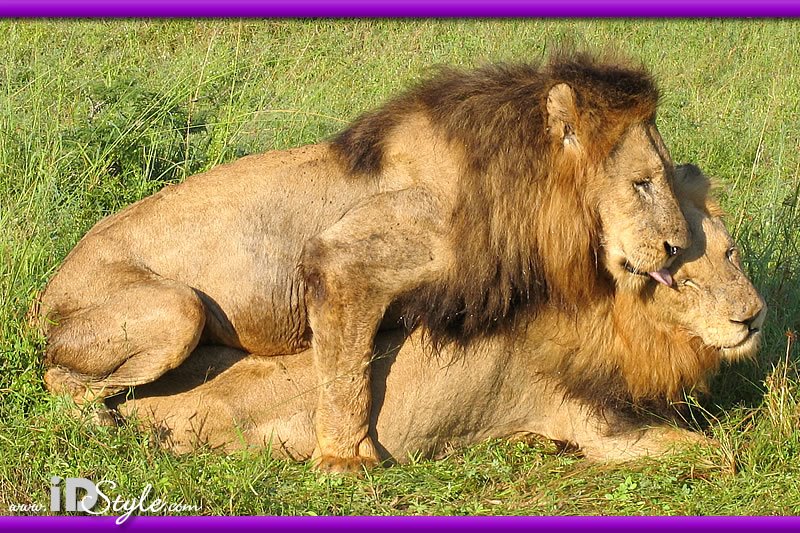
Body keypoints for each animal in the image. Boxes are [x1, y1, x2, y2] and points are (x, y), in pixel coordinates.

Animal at [37, 51, 690, 472]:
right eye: (642, 183)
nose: (678, 248)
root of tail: (44, 293)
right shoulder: (341, 262)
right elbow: (346, 374)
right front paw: (347, 463)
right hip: (177, 308)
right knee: (55, 376)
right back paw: (100, 422)